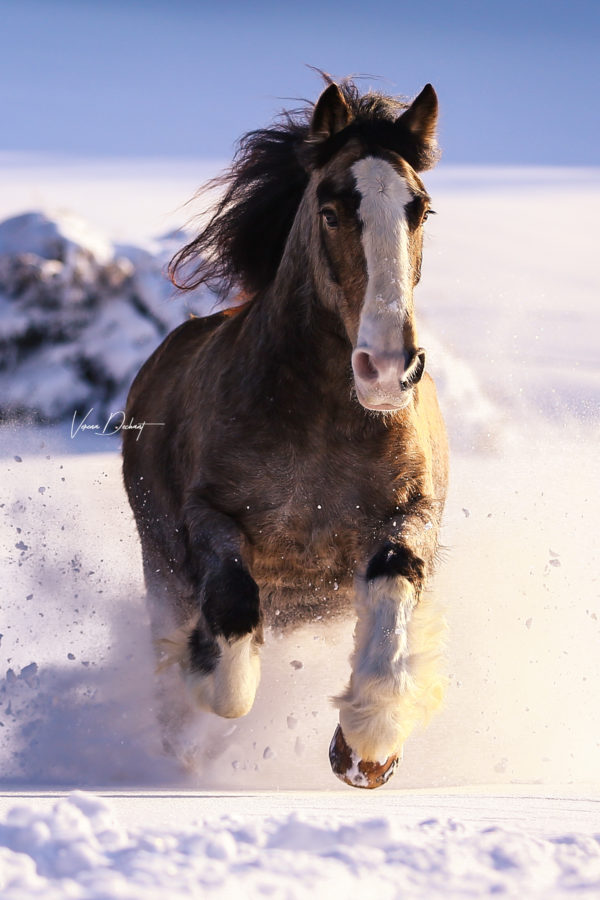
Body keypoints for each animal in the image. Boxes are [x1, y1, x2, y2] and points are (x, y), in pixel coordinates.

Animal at [122, 81, 448, 792]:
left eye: (421, 209)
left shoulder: (411, 514)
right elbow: (230, 660)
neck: (324, 425)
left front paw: (367, 748)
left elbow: (393, 591)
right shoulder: (212, 517)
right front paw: (197, 672)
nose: (388, 369)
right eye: (330, 210)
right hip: (160, 562)